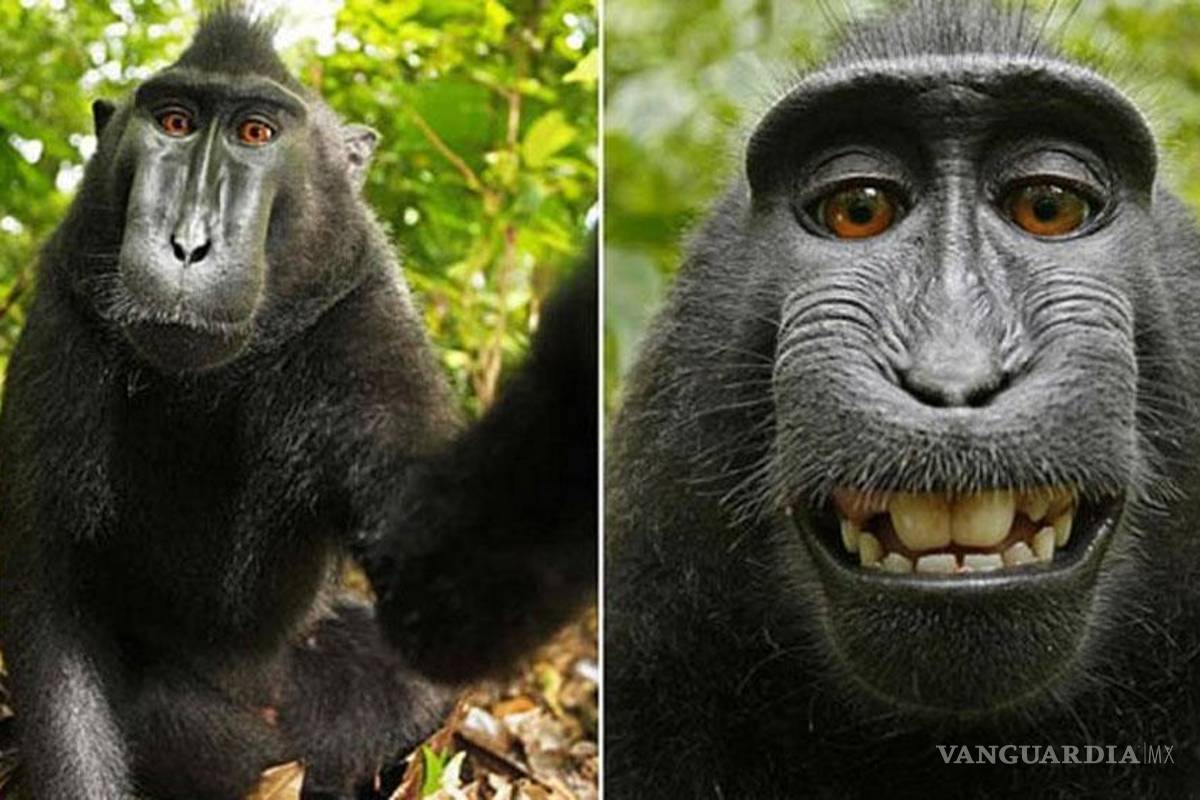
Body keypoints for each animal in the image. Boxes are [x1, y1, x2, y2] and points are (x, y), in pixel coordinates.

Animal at [0, 8, 596, 800]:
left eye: (256, 133)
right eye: (175, 122)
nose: (188, 243)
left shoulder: (365, 321)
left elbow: (445, 597)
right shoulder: (64, 321)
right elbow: (51, 612)